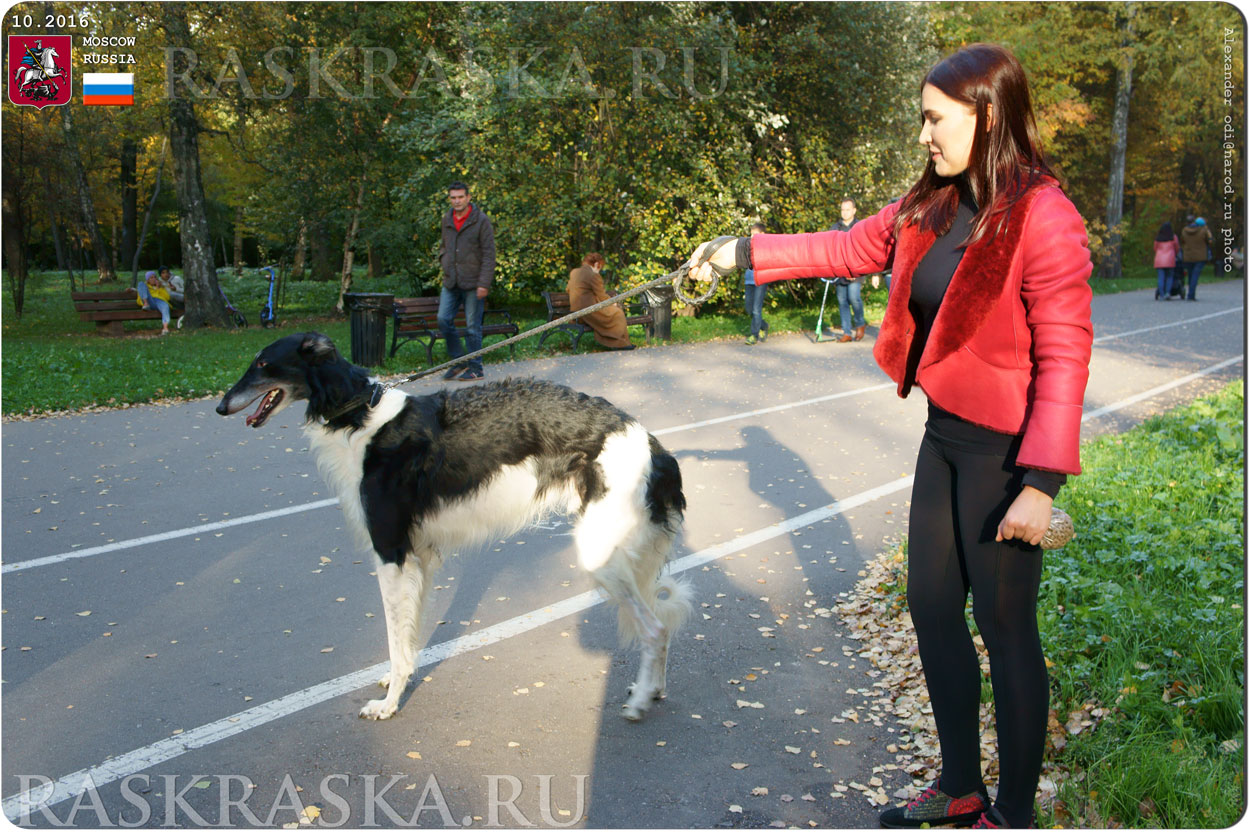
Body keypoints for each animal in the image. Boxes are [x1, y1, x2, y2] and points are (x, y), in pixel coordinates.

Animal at [215, 334, 685, 714]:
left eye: (262, 363)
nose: (220, 406)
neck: (360, 416)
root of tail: (651, 443)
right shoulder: (418, 556)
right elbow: (407, 635)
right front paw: (398, 681)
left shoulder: (390, 552)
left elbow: (394, 636)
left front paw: (389, 705)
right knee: (661, 625)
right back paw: (655, 689)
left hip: (600, 552)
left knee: (657, 627)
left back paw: (641, 701)